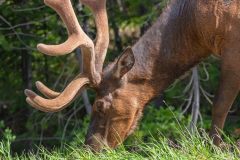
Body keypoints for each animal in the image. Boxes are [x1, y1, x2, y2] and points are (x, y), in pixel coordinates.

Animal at [24, 0, 240, 151]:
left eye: (100, 105)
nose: (90, 148)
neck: (195, 25)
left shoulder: (232, 47)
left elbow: (219, 105)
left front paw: (216, 147)